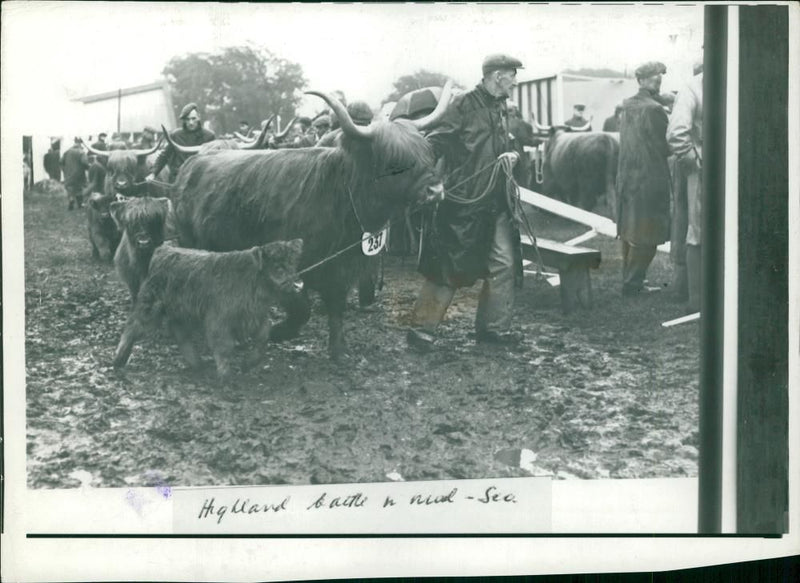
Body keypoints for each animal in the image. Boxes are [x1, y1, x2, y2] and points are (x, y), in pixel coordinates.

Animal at [109, 238, 304, 378]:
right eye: (278, 266)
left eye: (293, 263)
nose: (298, 285)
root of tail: (164, 249)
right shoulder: (219, 319)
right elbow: (224, 346)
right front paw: (225, 374)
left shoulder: (255, 316)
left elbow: (264, 335)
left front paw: (248, 363)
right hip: (150, 305)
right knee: (133, 326)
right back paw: (119, 359)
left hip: (183, 312)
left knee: (180, 333)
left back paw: (197, 363)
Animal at [171, 82, 454, 360]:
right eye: (394, 161)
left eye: (427, 152)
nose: (436, 190)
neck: (340, 193)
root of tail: (192, 163)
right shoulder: (286, 268)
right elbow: (302, 309)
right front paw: (278, 333)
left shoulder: (341, 265)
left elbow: (336, 307)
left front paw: (339, 352)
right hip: (191, 241)